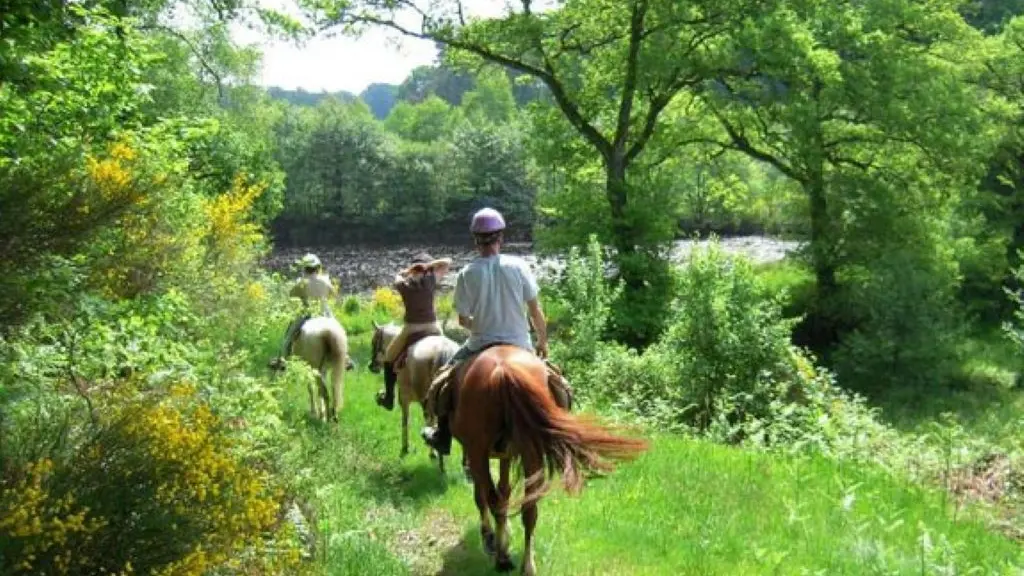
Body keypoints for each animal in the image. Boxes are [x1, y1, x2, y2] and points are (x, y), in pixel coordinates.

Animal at [368, 321, 459, 470]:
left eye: (374, 341)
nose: (371, 366)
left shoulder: (404, 398)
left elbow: (406, 421)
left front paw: (405, 448)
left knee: (431, 422)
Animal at [449, 345, 648, 575]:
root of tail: (503, 370)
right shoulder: (504, 455)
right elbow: (505, 491)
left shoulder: (474, 453)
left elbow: (483, 496)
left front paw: (490, 537)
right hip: (529, 451)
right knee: (528, 508)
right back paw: (526, 565)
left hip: (480, 451)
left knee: (493, 500)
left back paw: (502, 557)